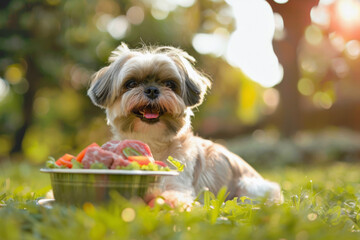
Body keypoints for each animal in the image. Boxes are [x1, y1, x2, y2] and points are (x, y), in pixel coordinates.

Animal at [87, 43, 282, 206]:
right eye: (131, 83)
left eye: (169, 84)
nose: (152, 90)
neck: (152, 141)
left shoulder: (177, 181)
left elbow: (172, 194)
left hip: (248, 187)